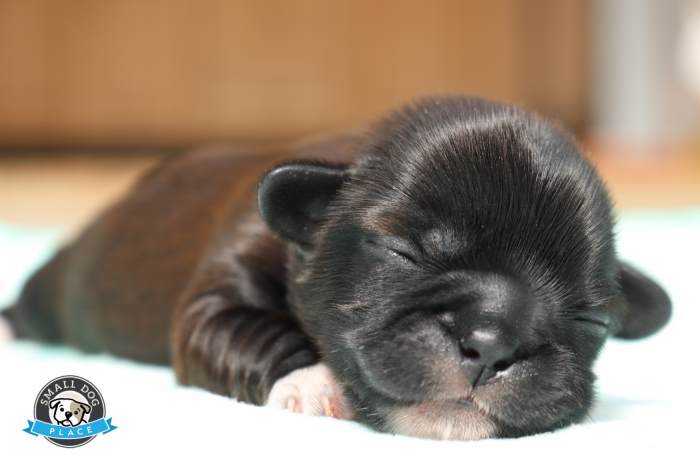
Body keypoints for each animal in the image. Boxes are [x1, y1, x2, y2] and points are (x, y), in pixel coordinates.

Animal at [5, 97, 672, 440]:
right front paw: (313, 382)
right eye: (406, 253)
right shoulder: (217, 298)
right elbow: (254, 330)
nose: (492, 343)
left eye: (589, 318)